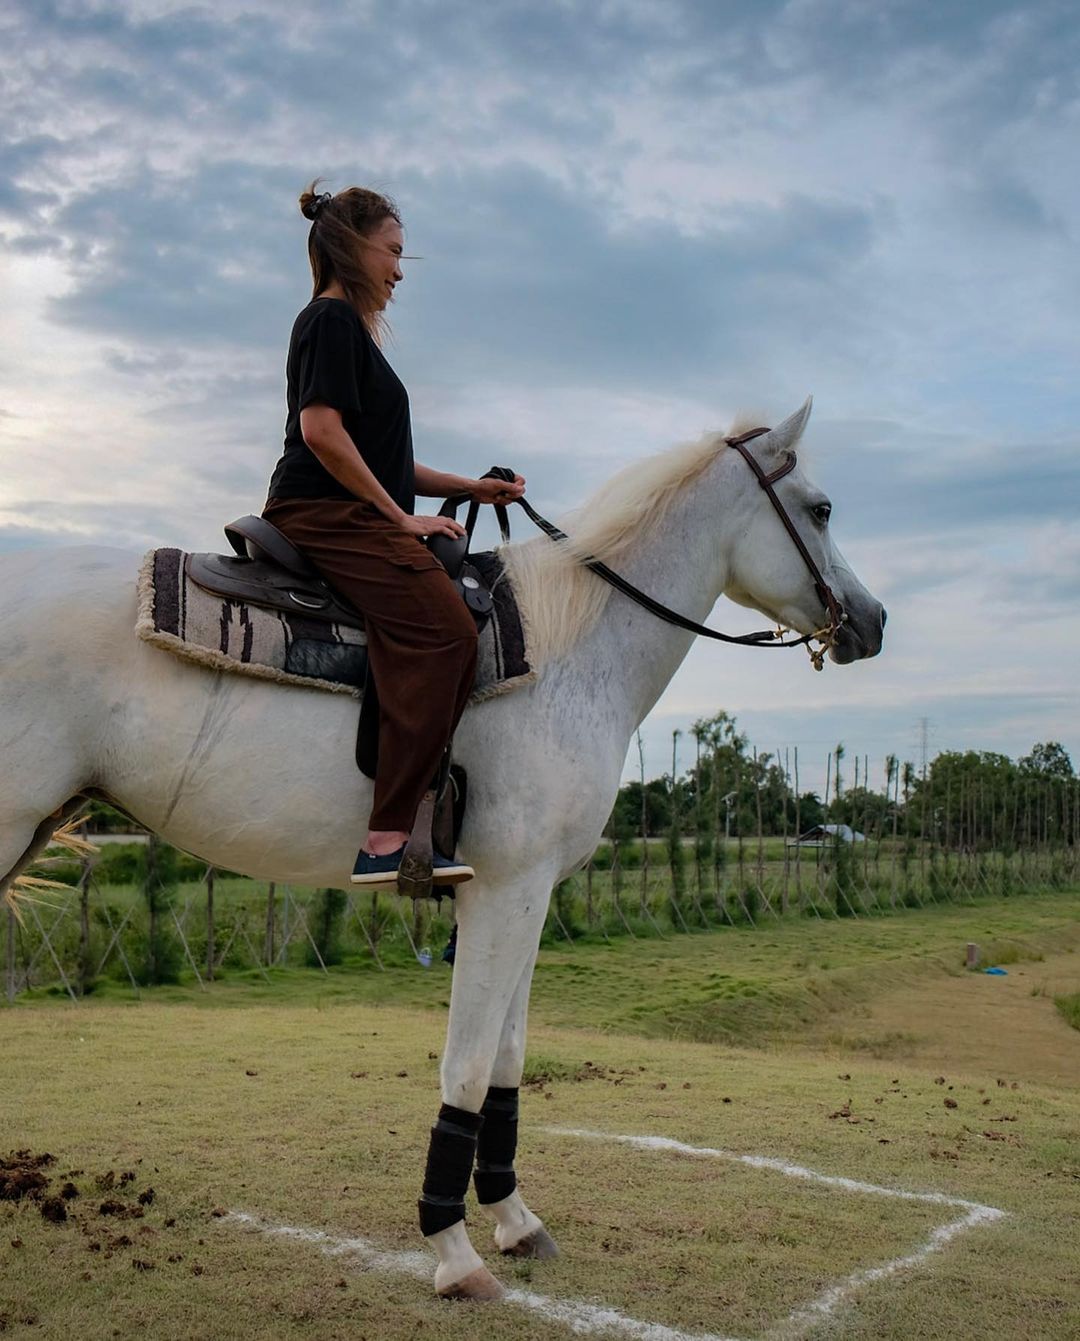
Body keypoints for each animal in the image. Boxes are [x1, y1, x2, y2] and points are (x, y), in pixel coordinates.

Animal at [0, 396, 885, 1298]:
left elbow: (507, 1061)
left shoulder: (530, 894)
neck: (572, 651)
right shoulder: (502, 889)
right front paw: (453, 1247)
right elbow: (465, 1064)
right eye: (822, 509)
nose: (873, 620)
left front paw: (514, 1218)